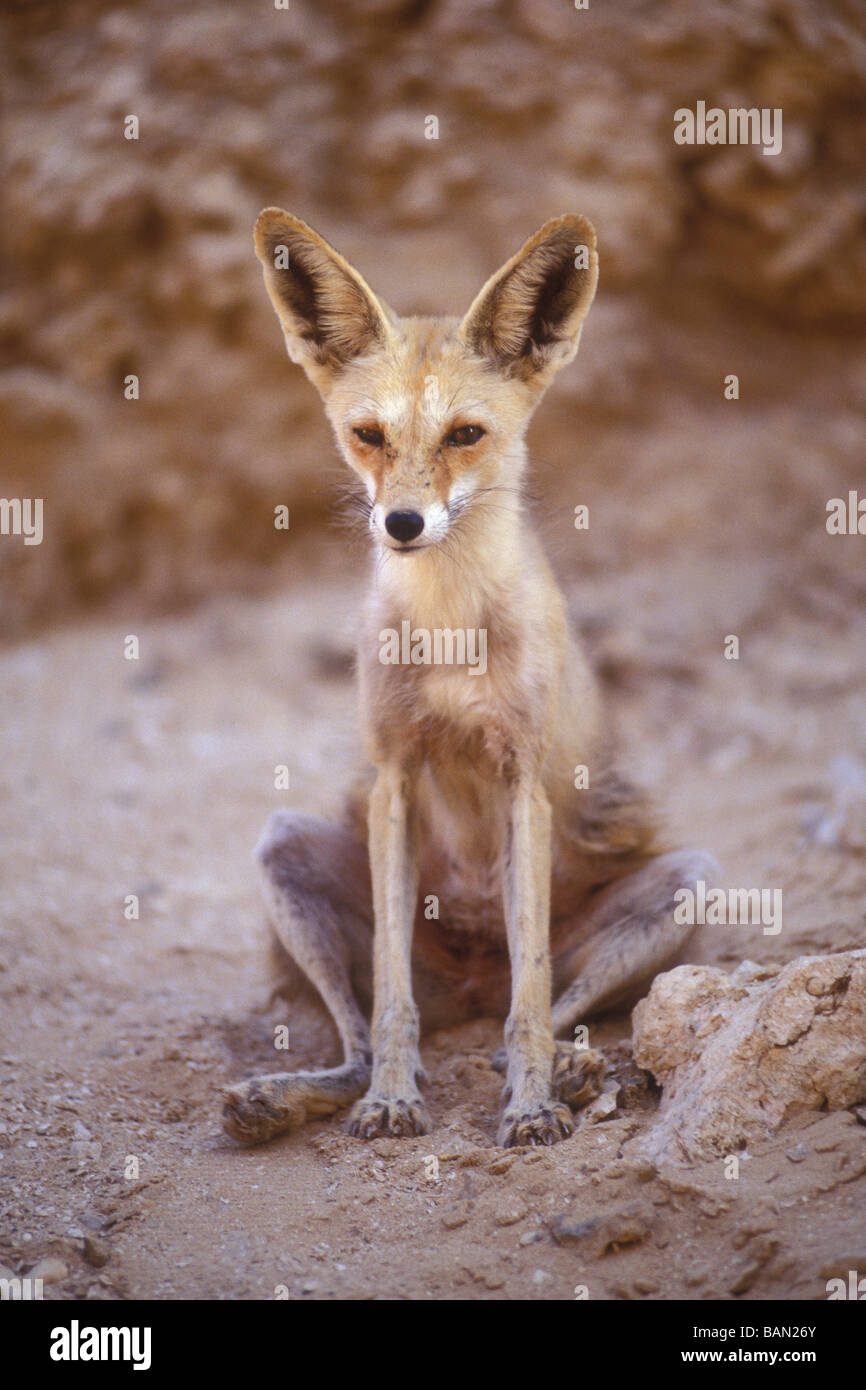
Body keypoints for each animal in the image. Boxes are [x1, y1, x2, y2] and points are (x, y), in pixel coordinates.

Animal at [223, 211, 717, 1145]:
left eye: (464, 435)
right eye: (368, 435)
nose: (402, 523)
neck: (450, 636)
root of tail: (471, 981)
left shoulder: (524, 781)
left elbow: (532, 999)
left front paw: (530, 1106)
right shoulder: (394, 778)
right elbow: (391, 1005)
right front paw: (393, 1101)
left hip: (691, 881)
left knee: (530, 1010)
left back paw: (567, 1071)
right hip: (281, 846)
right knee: (365, 1035)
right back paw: (291, 1097)